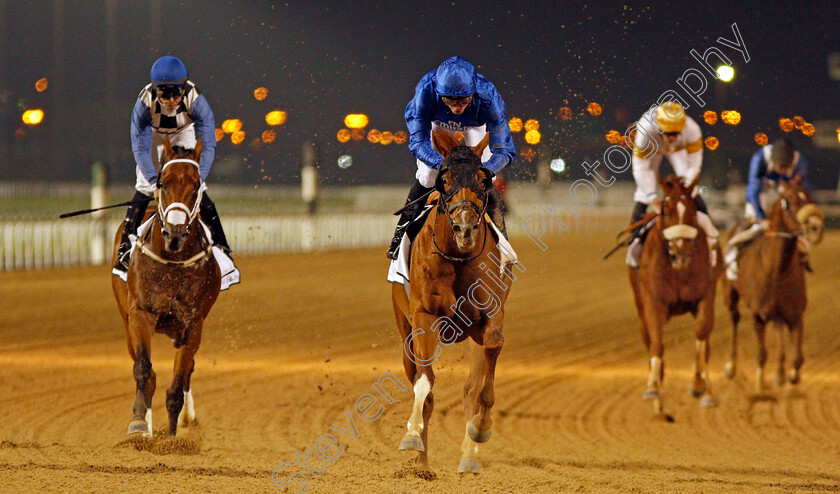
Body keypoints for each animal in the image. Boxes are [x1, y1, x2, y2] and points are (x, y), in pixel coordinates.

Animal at [110, 136, 220, 436]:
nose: (174, 234)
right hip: (126, 321)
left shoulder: (193, 323)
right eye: (163, 183)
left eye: (195, 185)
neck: (172, 261)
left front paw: (172, 434)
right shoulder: (140, 315)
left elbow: (179, 379)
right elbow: (144, 369)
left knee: (187, 369)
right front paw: (139, 423)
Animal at [392, 131, 516, 474]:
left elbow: (483, 381)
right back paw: (422, 464)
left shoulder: (489, 318)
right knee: (421, 383)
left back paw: (468, 458)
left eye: (482, 179)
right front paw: (412, 439)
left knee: (469, 389)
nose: (464, 228)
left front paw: (481, 429)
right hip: (404, 328)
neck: (457, 257)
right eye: (444, 179)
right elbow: (424, 383)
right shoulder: (423, 317)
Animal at [632, 174, 720, 412]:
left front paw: (700, 384)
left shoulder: (706, 296)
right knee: (648, 338)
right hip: (640, 307)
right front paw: (653, 385)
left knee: (706, 342)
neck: (678, 268)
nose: (681, 250)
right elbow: (656, 341)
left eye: (692, 211)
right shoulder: (653, 301)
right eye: (665, 211)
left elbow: (701, 333)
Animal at [724, 176, 824, 392]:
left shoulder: (795, 313)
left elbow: (798, 358)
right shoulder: (757, 315)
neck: (776, 269)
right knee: (734, 319)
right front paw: (760, 384)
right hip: (730, 295)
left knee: (778, 327)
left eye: (810, 197)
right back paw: (731, 367)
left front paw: (790, 376)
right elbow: (761, 354)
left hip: (778, 310)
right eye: (790, 200)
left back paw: (779, 372)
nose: (816, 227)